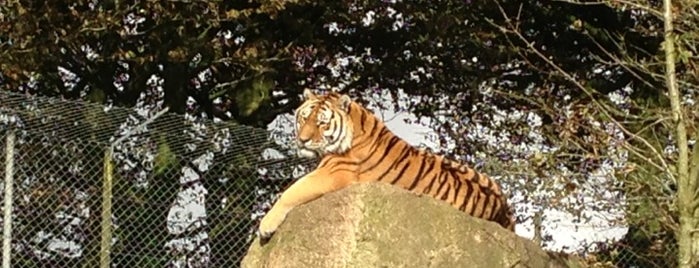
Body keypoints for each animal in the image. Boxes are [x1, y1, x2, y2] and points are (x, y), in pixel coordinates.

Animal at [258, 89, 516, 240]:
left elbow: (290, 192)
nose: (302, 139)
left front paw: (265, 226)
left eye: (322, 123)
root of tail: (505, 214)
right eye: (304, 117)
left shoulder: (332, 173)